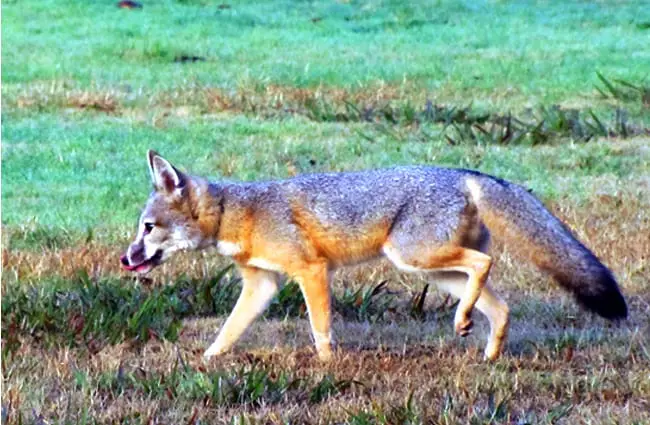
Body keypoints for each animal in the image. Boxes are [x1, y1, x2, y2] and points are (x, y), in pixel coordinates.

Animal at [119, 151, 624, 360]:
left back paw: (466, 324)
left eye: (148, 228)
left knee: (485, 264)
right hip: (434, 272)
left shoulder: (311, 271)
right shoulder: (262, 284)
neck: (237, 213)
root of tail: (465, 172)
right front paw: (206, 360)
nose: (126, 260)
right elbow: (227, 331)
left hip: (414, 257)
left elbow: (320, 328)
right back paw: (486, 351)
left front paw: (326, 367)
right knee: (499, 307)